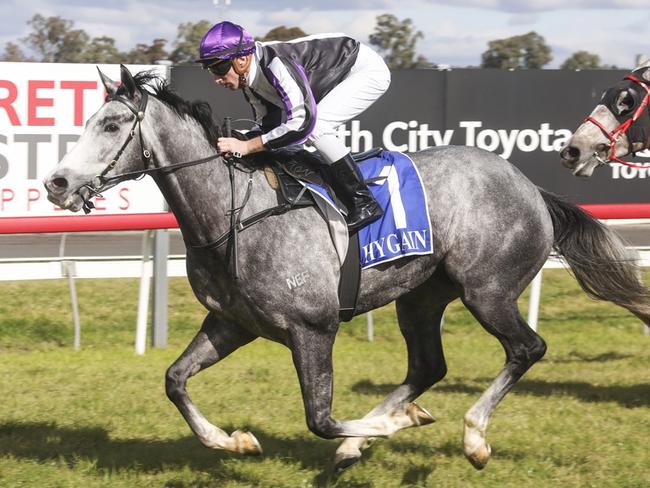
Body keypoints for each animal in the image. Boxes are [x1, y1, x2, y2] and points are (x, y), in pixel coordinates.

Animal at [44, 66, 648, 472]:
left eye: (113, 124)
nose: (56, 182)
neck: (234, 213)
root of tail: (530, 186)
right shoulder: (231, 323)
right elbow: (174, 380)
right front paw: (232, 441)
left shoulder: (313, 328)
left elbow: (320, 417)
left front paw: (396, 424)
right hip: (420, 296)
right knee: (427, 366)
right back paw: (362, 445)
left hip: (488, 289)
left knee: (527, 348)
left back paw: (471, 438)